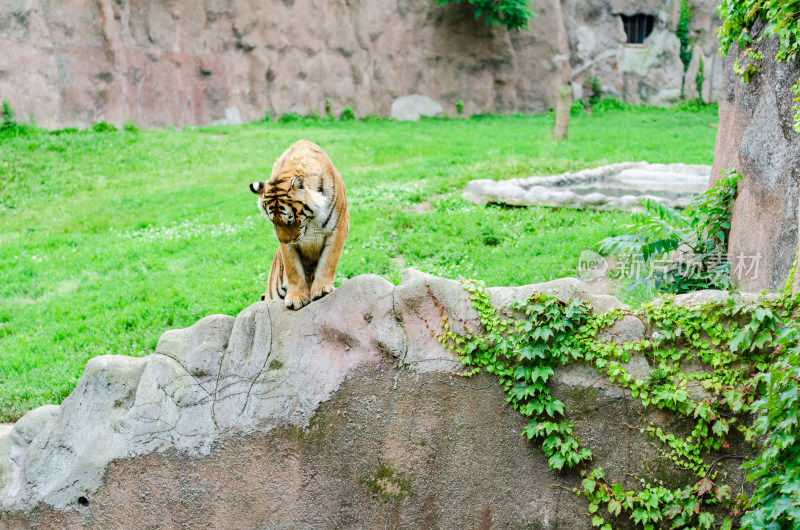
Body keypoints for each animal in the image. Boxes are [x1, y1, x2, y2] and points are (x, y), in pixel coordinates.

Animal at [250, 138, 350, 310]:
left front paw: (321, 289)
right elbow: (293, 270)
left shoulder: (339, 226)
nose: (283, 240)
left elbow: (329, 259)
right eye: (272, 221)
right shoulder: (288, 247)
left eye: (291, 219)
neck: (310, 222)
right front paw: (296, 298)